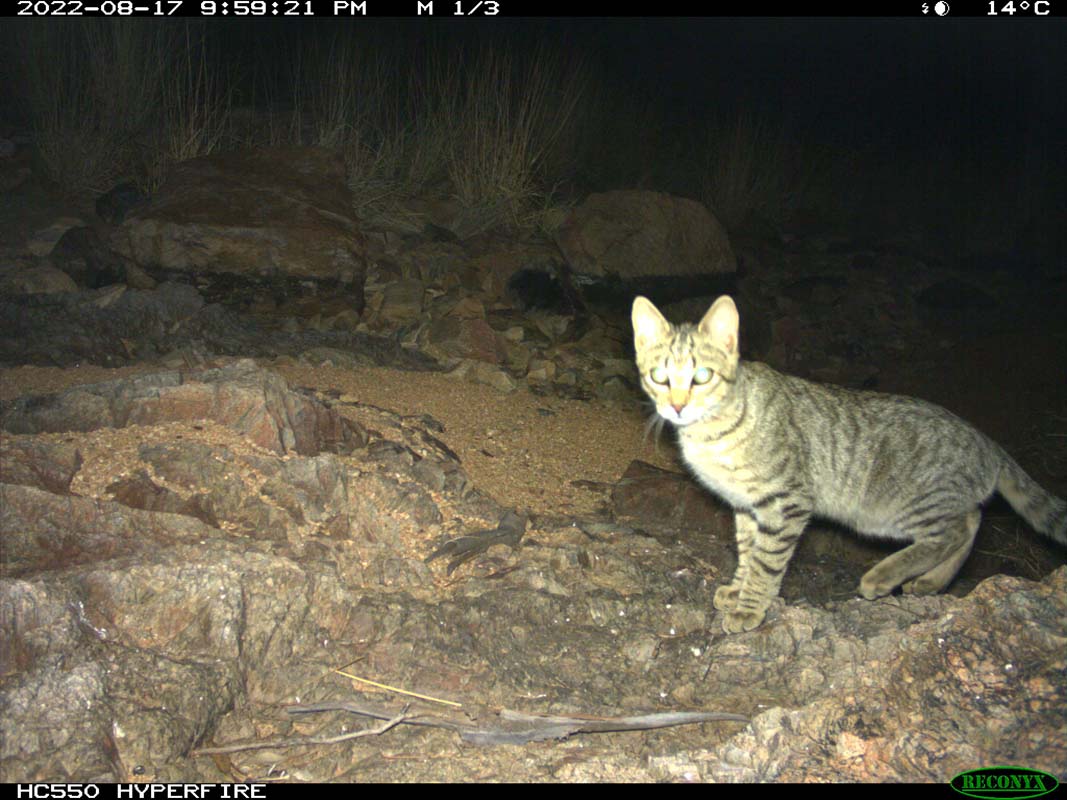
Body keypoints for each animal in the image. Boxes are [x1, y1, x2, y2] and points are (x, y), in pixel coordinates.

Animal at [631, 294, 1067, 631]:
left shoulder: (785, 502)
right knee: (972, 520)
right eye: (659, 377)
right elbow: (748, 551)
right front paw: (738, 589)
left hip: (902, 507)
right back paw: (931, 582)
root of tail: (985, 440)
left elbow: (766, 562)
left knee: (952, 532)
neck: (711, 432)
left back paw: (885, 576)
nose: (677, 407)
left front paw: (749, 607)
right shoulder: (747, 506)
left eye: (702, 376)